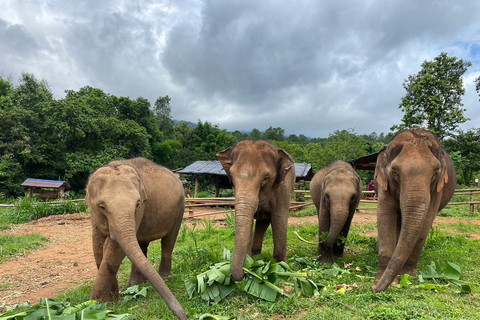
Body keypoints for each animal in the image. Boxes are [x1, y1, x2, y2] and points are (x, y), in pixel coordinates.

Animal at [85, 158, 187, 320]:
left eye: (137, 204)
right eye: (102, 207)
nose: (184, 316)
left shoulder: (141, 210)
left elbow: (114, 250)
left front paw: (97, 305)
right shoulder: (94, 216)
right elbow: (97, 246)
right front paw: (105, 303)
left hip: (179, 208)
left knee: (168, 241)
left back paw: (165, 278)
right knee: (142, 244)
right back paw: (135, 284)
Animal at [218, 139, 296, 280]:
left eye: (266, 178)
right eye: (231, 176)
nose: (243, 276)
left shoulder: (283, 189)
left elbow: (279, 219)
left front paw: (281, 268)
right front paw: (249, 262)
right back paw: (256, 254)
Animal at [374, 128, 456, 292]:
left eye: (435, 173)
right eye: (395, 172)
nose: (373, 289)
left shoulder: (437, 189)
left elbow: (426, 220)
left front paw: (407, 275)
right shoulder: (383, 184)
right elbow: (385, 216)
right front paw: (380, 280)